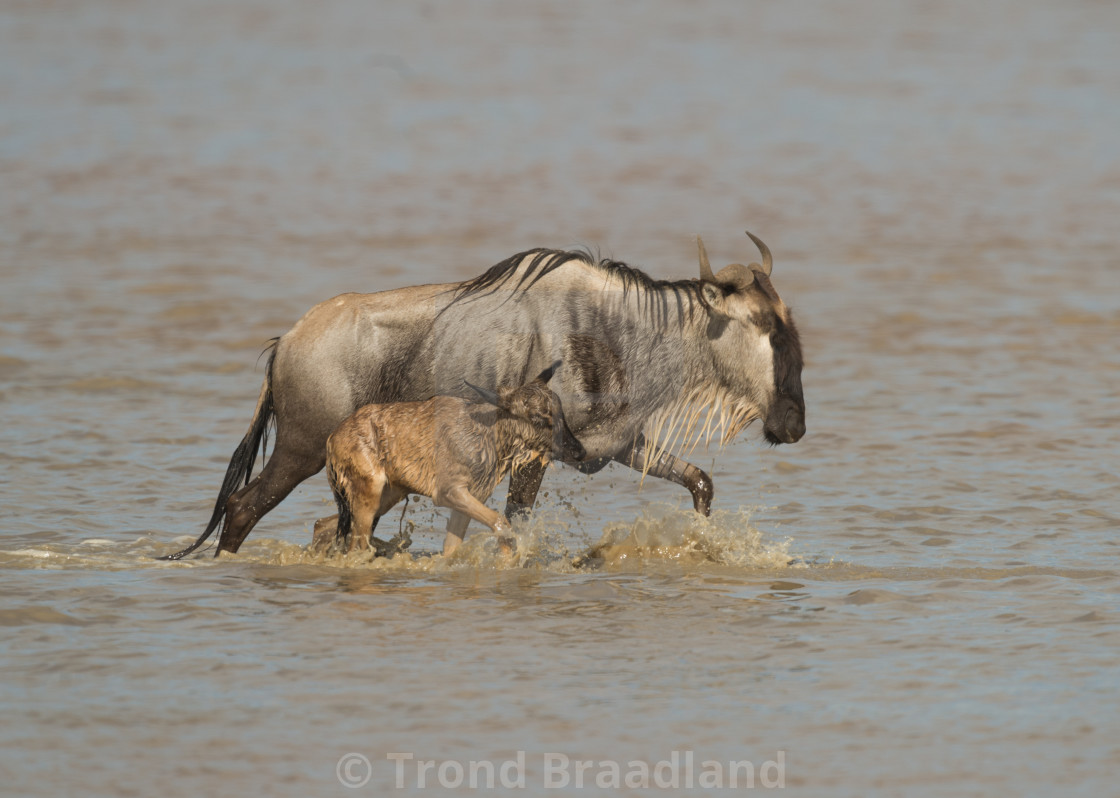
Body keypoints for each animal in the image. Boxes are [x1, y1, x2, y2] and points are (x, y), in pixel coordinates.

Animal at [320, 360, 586, 555]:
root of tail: (332, 438)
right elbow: (502, 524)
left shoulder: (470, 498)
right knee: (356, 547)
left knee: (325, 525)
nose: (580, 452)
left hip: (385, 497)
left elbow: (452, 549)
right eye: (538, 417)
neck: (488, 436)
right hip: (369, 494)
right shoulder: (448, 492)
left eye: (561, 412)